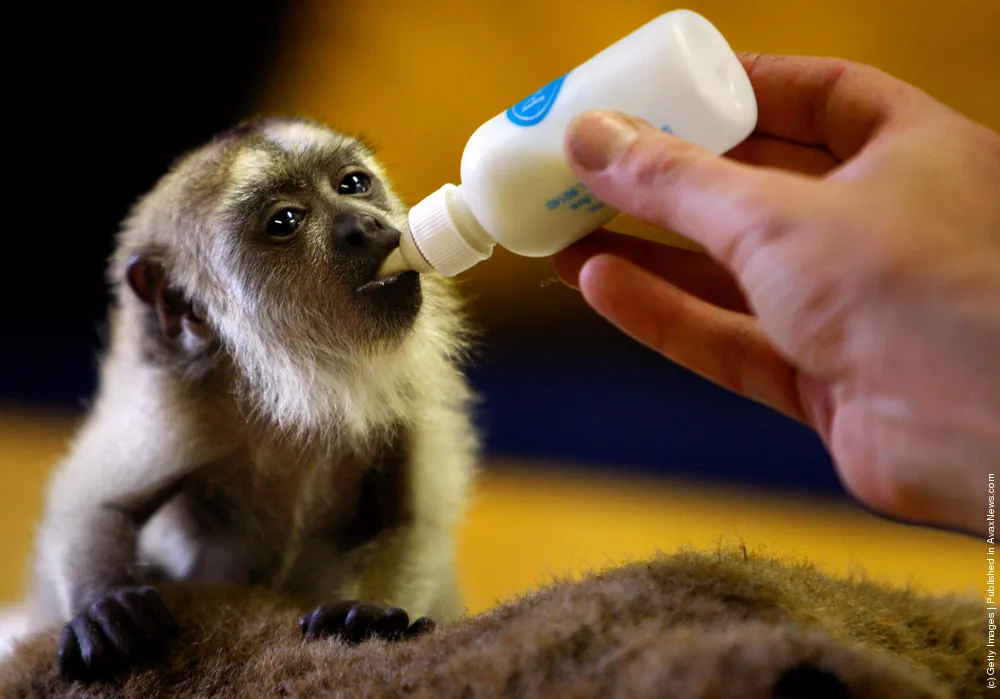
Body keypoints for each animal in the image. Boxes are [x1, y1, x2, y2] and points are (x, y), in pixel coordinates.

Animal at [19, 117, 478, 680]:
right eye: (285, 221)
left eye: (352, 184)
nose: (365, 225)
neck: (300, 384)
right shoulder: (181, 403)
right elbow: (94, 504)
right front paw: (104, 606)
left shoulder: (410, 390)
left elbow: (411, 521)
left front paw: (368, 613)